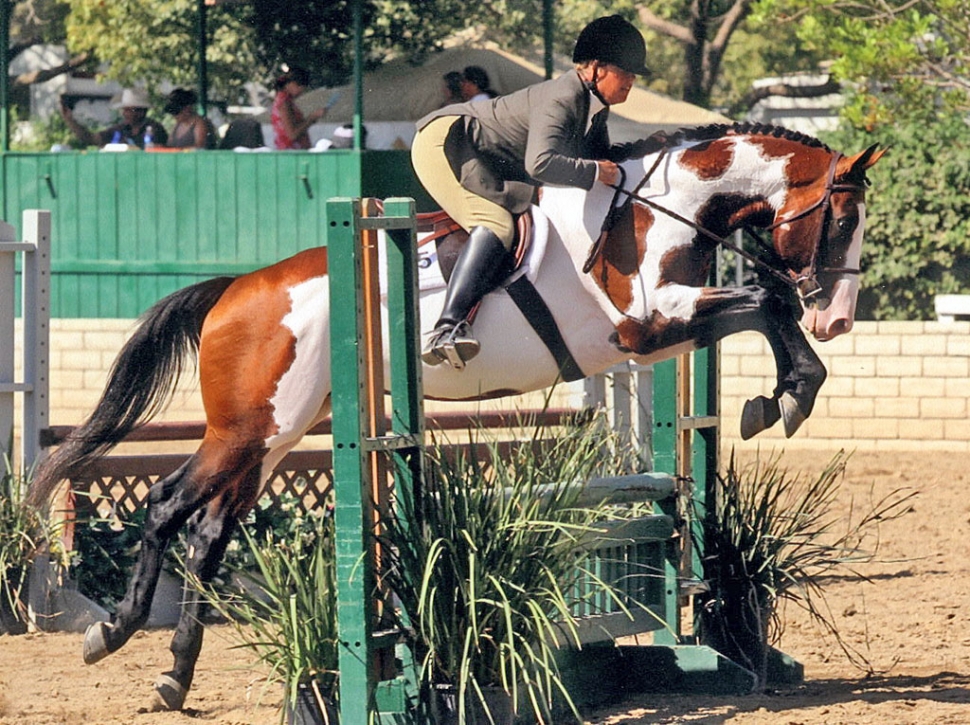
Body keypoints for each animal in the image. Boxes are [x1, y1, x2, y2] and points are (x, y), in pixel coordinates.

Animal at [30, 123, 880, 708]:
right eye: (841, 222)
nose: (839, 317)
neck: (664, 208)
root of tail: (237, 290)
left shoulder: (672, 326)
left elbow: (765, 305)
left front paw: (780, 394)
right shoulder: (648, 326)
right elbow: (767, 299)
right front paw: (785, 395)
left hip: (276, 433)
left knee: (205, 530)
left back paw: (168, 671)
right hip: (248, 430)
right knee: (166, 505)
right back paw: (114, 635)